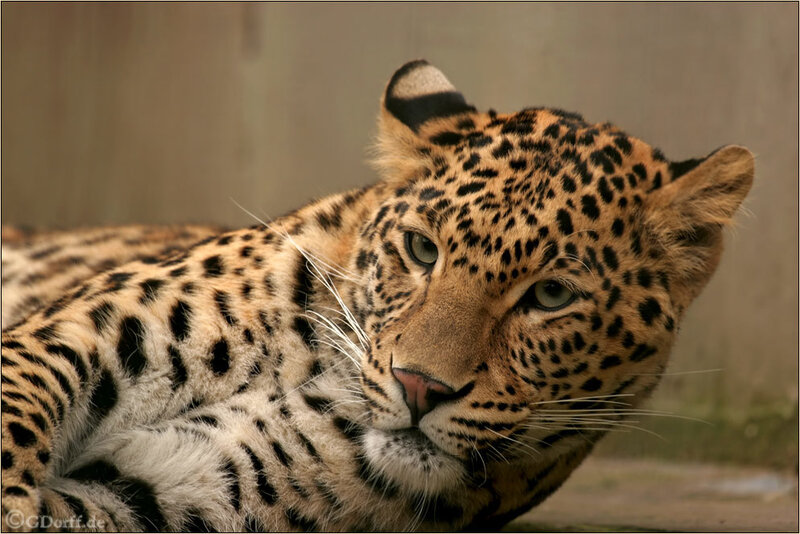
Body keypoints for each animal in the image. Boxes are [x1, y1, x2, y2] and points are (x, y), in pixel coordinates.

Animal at [0, 59, 753, 532]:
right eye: (422, 250)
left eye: (550, 295)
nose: (421, 387)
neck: (312, 368)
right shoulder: (85, 330)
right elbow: (18, 406)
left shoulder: (161, 494)